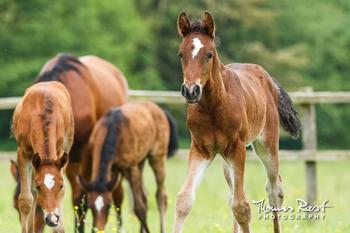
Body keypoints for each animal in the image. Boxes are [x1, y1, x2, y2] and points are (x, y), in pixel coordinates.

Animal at [12, 80, 74, 233]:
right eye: (39, 186)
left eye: (60, 185)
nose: (52, 219)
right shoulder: (23, 154)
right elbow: (26, 200)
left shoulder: (59, 153)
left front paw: (58, 228)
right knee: (32, 195)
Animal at [78, 102, 179, 233]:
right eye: (90, 206)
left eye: (108, 205)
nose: (99, 230)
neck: (112, 130)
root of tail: (158, 109)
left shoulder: (131, 168)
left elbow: (139, 208)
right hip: (140, 162)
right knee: (145, 195)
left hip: (157, 157)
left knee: (161, 196)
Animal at [172, 11, 300, 233]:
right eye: (181, 54)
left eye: (209, 54)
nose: (190, 91)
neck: (214, 107)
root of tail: (268, 79)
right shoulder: (200, 150)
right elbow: (184, 200)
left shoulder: (236, 148)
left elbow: (241, 207)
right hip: (225, 158)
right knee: (233, 193)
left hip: (266, 144)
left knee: (274, 188)